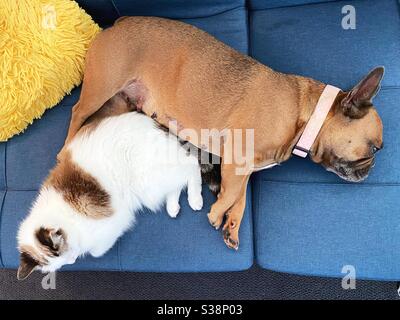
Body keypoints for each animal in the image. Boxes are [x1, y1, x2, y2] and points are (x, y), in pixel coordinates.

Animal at [16, 96, 205, 278]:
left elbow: (97, 251)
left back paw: (195, 200)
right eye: (60, 262)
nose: (72, 259)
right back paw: (173, 208)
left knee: (191, 164)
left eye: (62, 252)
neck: (63, 216)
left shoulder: (114, 223)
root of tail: (155, 125)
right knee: (178, 181)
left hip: (148, 181)